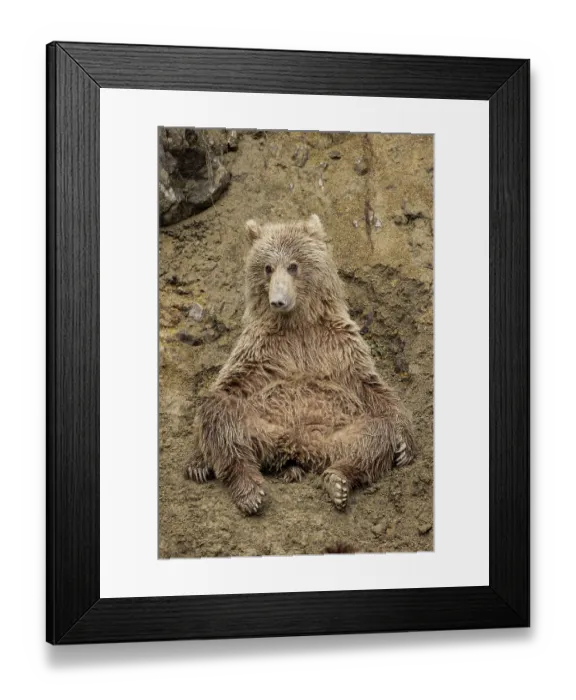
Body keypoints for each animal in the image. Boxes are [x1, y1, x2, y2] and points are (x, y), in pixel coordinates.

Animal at [186, 214, 415, 515]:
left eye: (293, 265)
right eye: (267, 267)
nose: (278, 300)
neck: (298, 324)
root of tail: (298, 447)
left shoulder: (337, 343)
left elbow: (371, 386)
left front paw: (404, 446)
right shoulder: (260, 347)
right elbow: (229, 385)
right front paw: (197, 461)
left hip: (337, 436)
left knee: (374, 434)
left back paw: (338, 480)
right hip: (262, 427)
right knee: (222, 416)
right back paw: (250, 491)